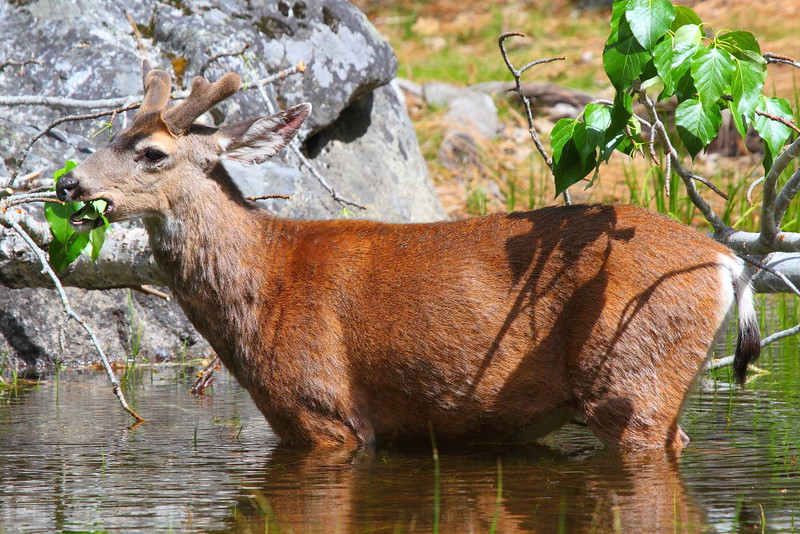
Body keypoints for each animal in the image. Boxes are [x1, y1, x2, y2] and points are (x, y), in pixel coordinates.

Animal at [57, 65, 764, 454]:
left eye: (152, 152)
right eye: (112, 132)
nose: (69, 184)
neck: (265, 283)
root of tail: (726, 261)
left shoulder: (324, 411)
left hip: (634, 376)